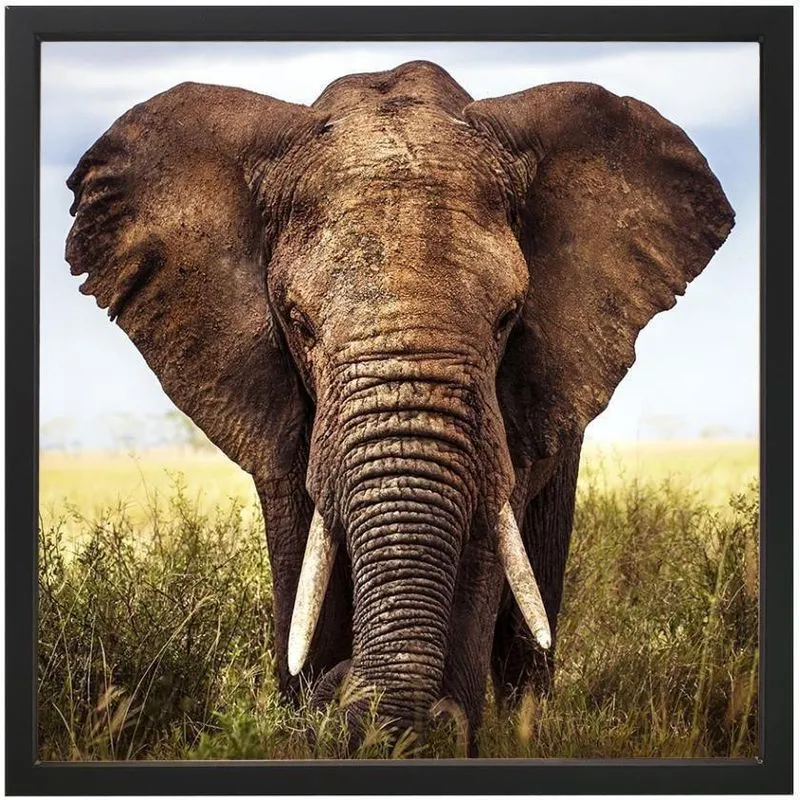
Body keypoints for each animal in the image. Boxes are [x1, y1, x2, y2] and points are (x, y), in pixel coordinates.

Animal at [65, 60, 734, 753]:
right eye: (298, 323)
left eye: (508, 318)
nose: (340, 688)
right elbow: (301, 551)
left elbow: (483, 549)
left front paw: (442, 730)